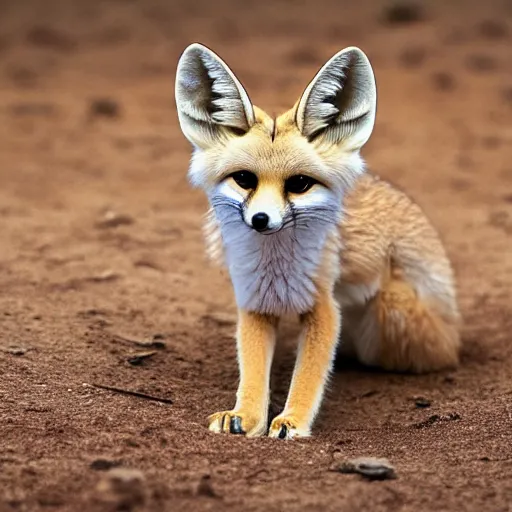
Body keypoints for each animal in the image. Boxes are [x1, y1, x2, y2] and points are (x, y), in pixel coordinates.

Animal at [175, 44, 460, 438]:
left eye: (299, 184)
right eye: (244, 179)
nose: (261, 220)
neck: (277, 268)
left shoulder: (323, 305)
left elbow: (308, 376)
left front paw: (292, 420)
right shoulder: (255, 301)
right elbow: (252, 375)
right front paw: (245, 416)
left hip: (392, 307)